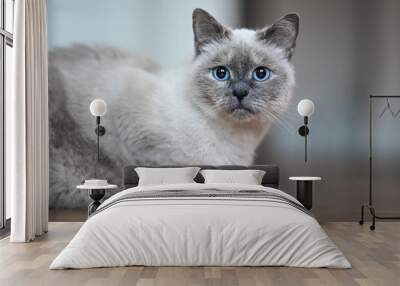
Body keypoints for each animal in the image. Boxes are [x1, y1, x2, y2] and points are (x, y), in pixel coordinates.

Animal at [48, 8, 298, 208]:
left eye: (261, 73)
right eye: (221, 73)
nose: (239, 92)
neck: (235, 141)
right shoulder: (134, 129)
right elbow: (161, 173)